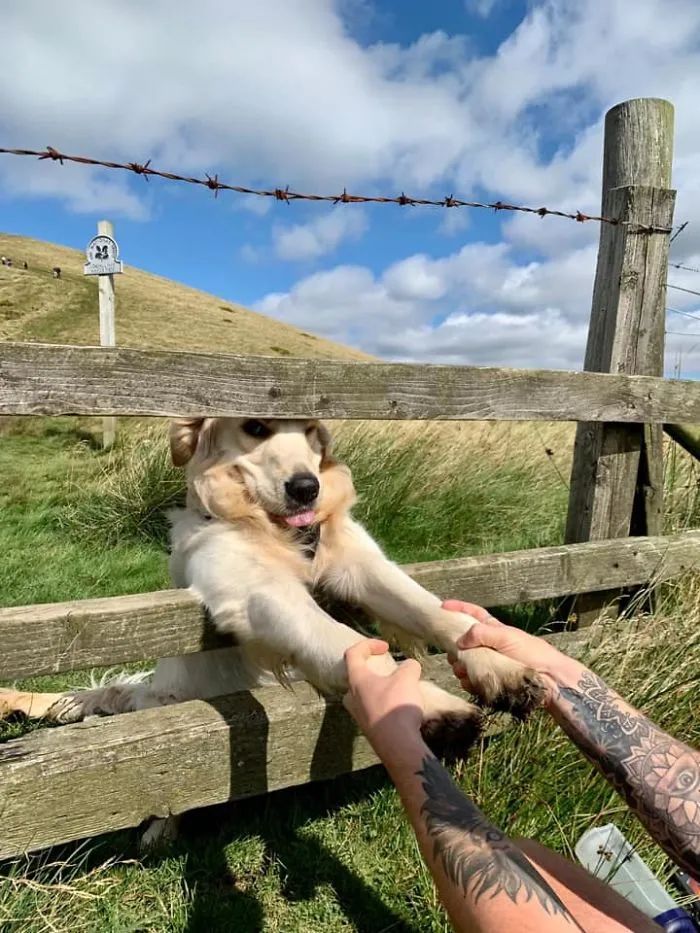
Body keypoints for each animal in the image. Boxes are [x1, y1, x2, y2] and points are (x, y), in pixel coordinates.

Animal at [0, 416, 544, 756]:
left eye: (311, 430)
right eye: (255, 427)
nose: (307, 488)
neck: (275, 528)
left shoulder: (361, 567)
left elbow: (434, 611)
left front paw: (499, 664)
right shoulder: (258, 594)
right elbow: (344, 641)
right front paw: (424, 705)